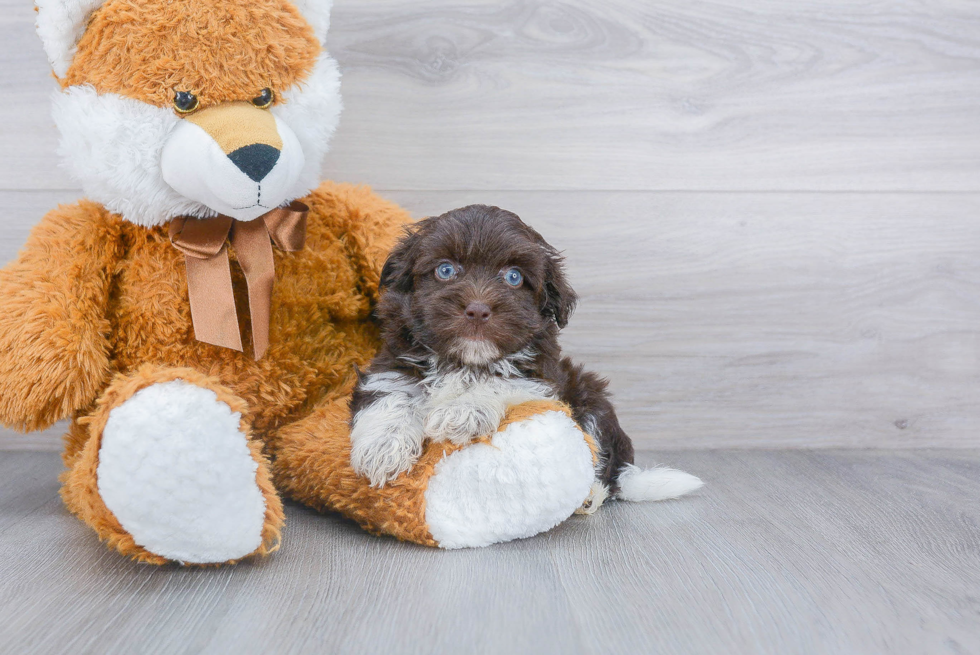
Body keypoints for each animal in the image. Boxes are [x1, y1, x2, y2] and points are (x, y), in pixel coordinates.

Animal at [348, 208, 700, 504]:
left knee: (603, 458)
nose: (477, 309)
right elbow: (393, 395)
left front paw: (464, 409)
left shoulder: (542, 381)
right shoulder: (391, 365)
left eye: (514, 277)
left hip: (590, 396)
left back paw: (592, 494)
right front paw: (383, 448)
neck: (465, 361)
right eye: (445, 270)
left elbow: (498, 380)